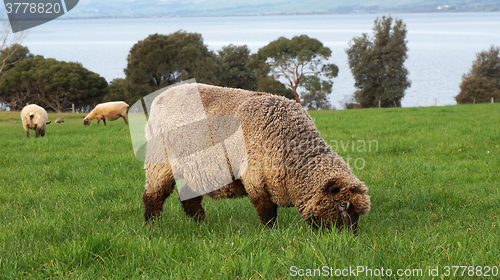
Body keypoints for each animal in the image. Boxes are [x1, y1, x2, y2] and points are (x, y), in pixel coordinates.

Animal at [143, 83, 370, 232]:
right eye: (343, 205)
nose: (349, 238)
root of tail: (162, 96)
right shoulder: (255, 176)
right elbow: (266, 209)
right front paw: (270, 232)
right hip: (160, 162)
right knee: (152, 195)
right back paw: (151, 226)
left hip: (194, 168)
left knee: (189, 197)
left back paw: (200, 223)